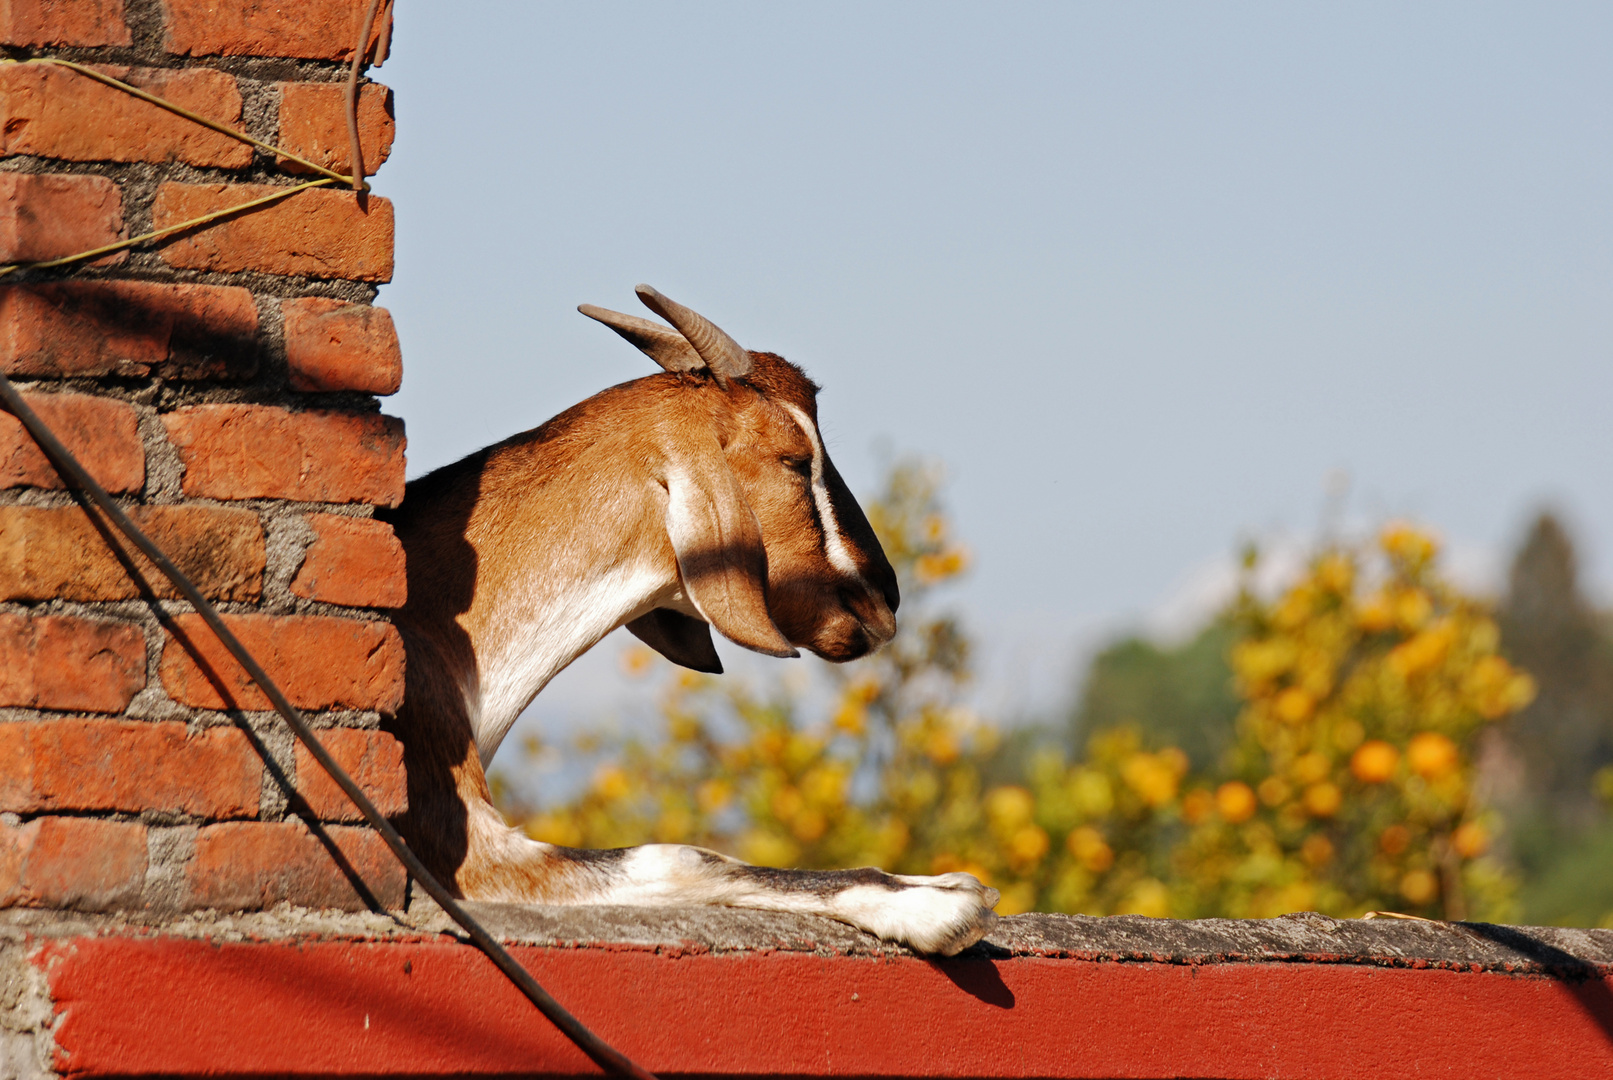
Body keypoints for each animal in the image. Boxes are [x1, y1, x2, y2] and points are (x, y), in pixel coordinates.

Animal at [380, 286, 993, 954]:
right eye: (793, 459)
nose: (884, 596)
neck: (437, 620)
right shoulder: (466, 850)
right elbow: (680, 856)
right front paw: (935, 903)